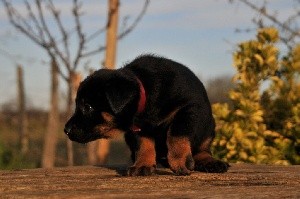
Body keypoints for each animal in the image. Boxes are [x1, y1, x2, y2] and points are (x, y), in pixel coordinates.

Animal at [65, 54, 230, 176]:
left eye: (88, 107)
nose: (66, 130)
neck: (147, 94)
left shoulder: (188, 108)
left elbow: (175, 135)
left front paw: (179, 161)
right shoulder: (137, 127)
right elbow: (144, 143)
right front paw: (142, 165)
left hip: (209, 126)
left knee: (203, 149)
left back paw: (210, 161)